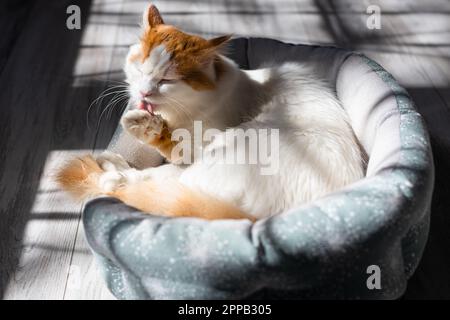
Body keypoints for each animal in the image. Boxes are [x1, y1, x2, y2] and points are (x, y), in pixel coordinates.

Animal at [57, 5, 366, 221]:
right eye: (140, 70)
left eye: (166, 80)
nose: (144, 93)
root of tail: (263, 220)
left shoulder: (196, 146)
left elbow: (171, 146)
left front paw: (142, 125)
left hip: (220, 153)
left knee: (144, 182)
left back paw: (110, 171)